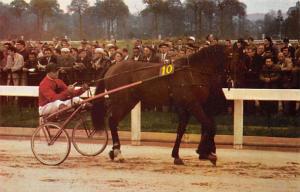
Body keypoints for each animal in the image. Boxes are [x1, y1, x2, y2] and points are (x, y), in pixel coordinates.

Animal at [91, 44, 237, 165]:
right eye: (234, 57)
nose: (233, 80)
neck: (192, 72)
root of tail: (112, 68)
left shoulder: (185, 108)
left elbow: (182, 130)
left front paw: (178, 156)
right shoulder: (192, 104)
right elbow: (208, 125)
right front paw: (206, 153)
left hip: (127, 102)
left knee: (113, 121)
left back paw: (114, 151)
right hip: (122, 102)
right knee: (112, 121)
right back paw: (118, 152)